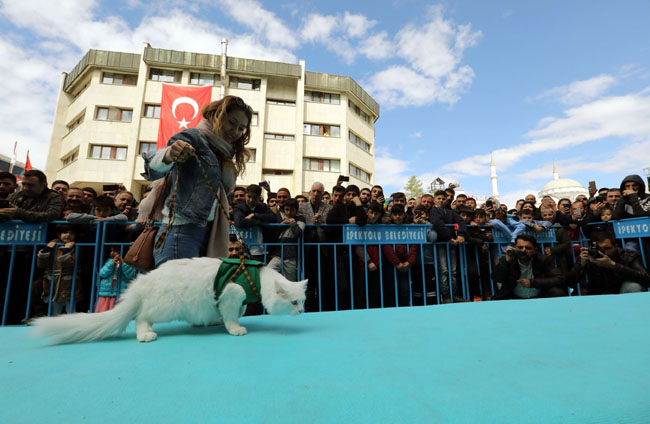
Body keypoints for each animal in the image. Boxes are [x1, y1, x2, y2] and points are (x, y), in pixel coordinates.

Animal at [33, 255, 308, 344]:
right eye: (294, 303)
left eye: (303, 301)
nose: (302, 312)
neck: (256, 278)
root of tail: (143, 281)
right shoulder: (231, 295)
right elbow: (231, 316)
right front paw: (235, 329)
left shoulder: (230, 301)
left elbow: (230, 314)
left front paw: (217, 322)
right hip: (163, 307)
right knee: (140, 318)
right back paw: (146, 335)